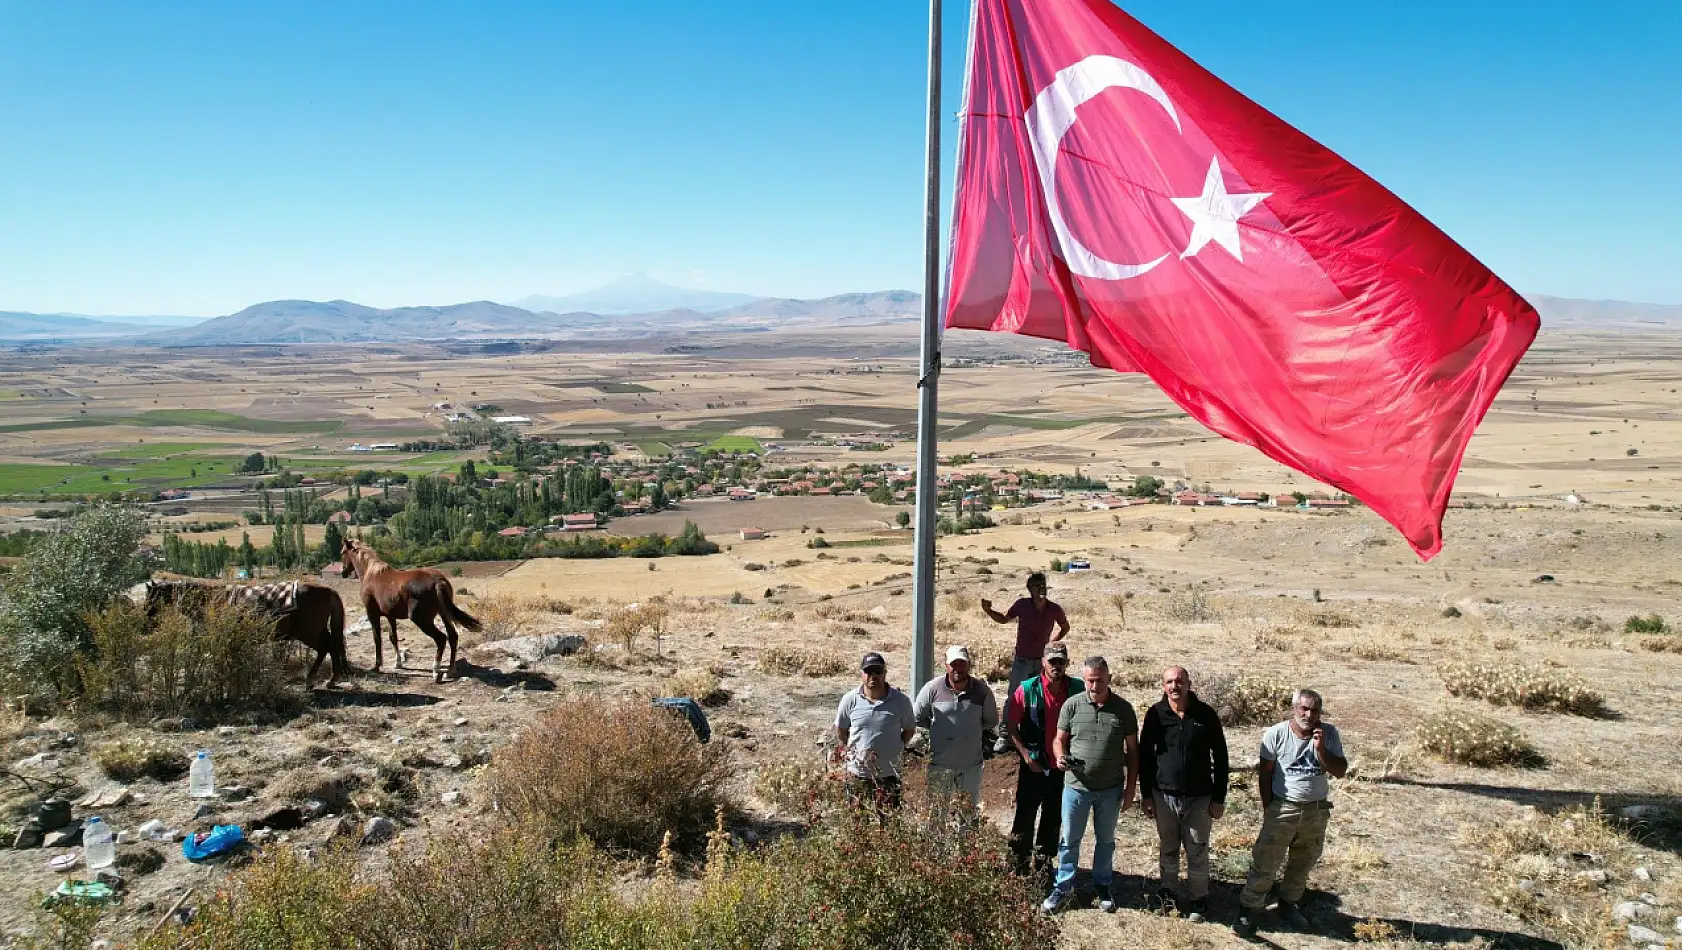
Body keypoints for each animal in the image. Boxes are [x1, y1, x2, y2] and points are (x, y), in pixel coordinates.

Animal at [146, 575, 349, 686]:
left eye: (151, 599)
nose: (147, 624)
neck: (213, 600)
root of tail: (327, 591)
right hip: (318, 630)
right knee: (331, 646)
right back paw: (330, 679)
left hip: (309, 633)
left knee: (325, 648)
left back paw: (316, 680)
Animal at [336, 534, 481, 682]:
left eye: (342, 552)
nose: (343, 572)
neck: (371, 573)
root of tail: (438, 581)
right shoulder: (390, 616)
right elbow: (393, 637)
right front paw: (398, 663)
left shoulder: (372, 614)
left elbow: (377, 639)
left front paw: (377, 666)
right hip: (444, 614)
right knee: (453, 636)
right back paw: (450, 670)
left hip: (422, 620)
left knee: (441, 639)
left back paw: (436, 671)